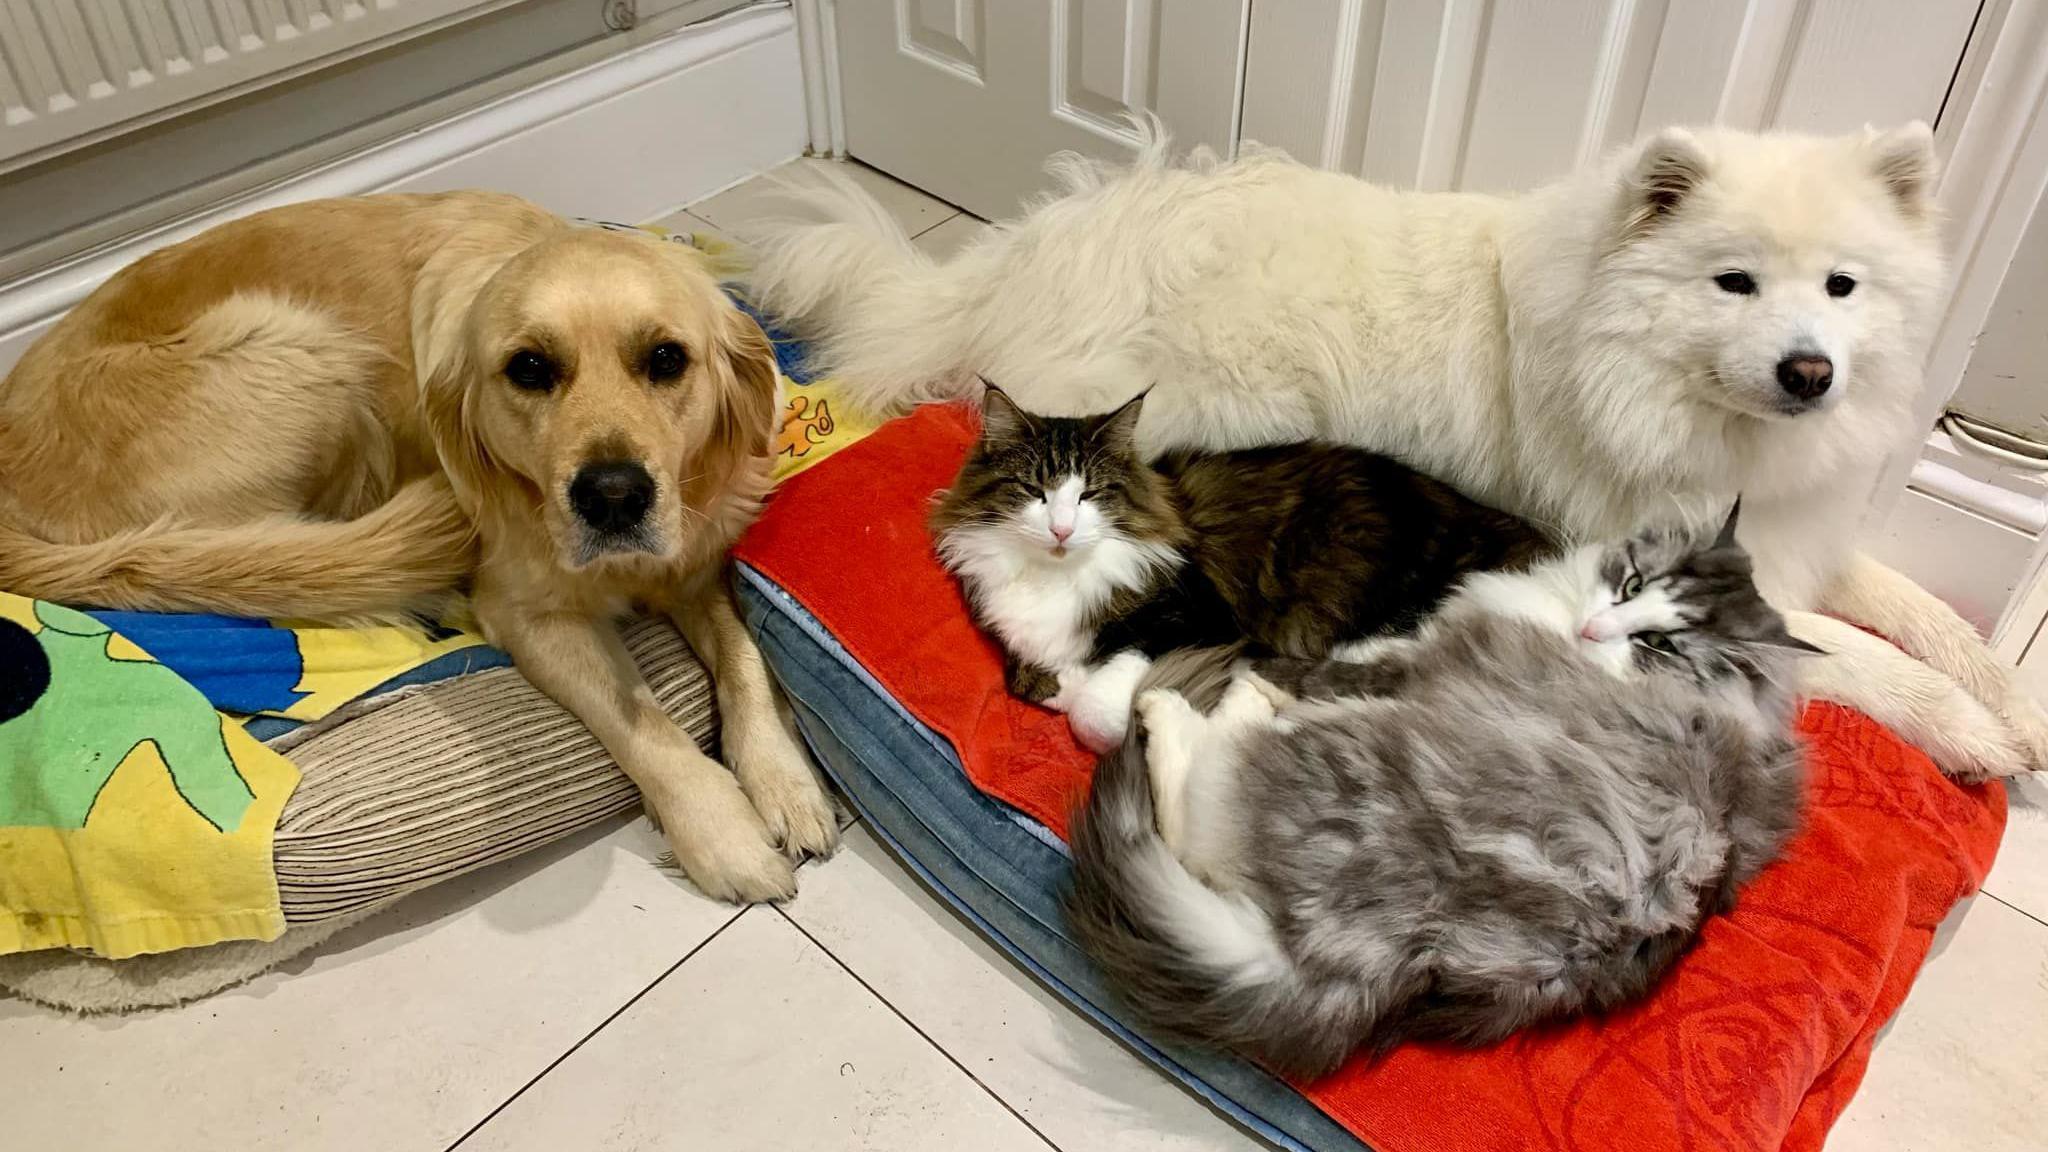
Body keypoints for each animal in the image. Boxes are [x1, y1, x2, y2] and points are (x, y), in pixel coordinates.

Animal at [0, 192, 839, 901]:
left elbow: (746, 662)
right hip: (303, 348)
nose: (612, 497)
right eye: (529, 368)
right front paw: (720, 832)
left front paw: (785, 783)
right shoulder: (528, 613)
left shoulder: (695, 562)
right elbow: (641, 724)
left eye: (667, 358)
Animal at [933, 385, 1548, 746]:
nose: (1061, 529)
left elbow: (1099, 707)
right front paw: (1057, 680)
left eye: (1091, 495)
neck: (1056, 574)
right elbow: (1028, 679)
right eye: (1034, 491)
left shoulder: (1202, 618)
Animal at [1064, 502, 1818, 1074]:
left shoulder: (1415, 666)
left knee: (1198, 796)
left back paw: (1184, 708)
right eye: (1633, 585)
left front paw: (1257, 676)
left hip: (1339, 752)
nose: (1592, 628)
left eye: (1659, 644)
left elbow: (1316, 668)